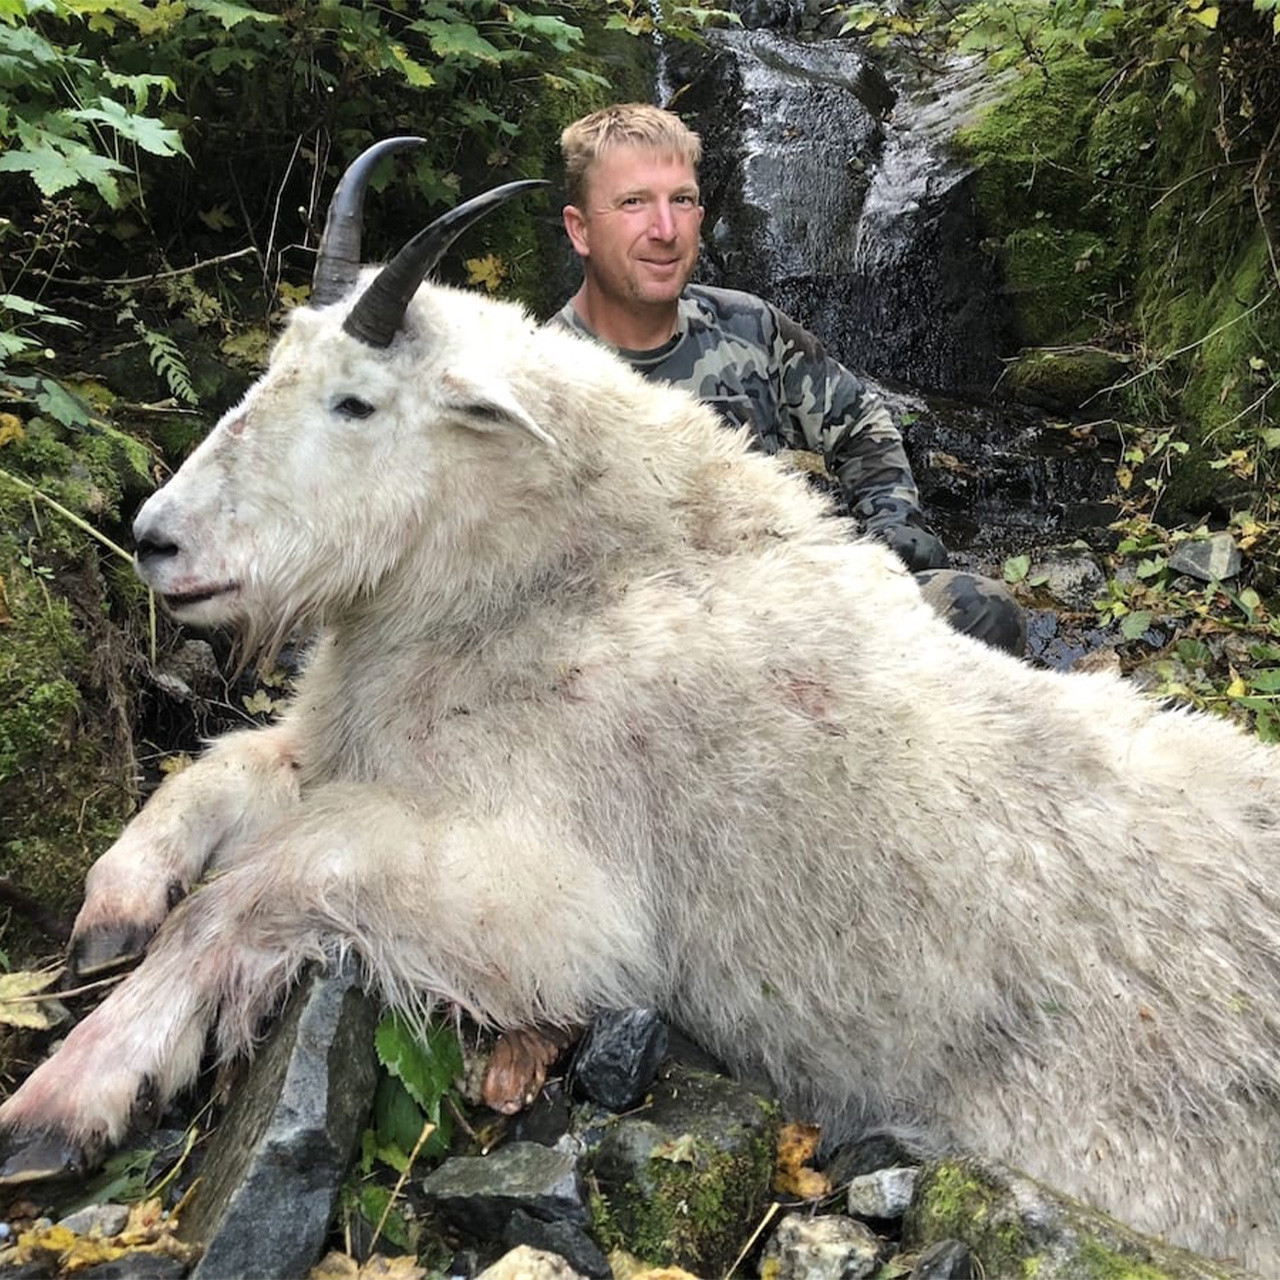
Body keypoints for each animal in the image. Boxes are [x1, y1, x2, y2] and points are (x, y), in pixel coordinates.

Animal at [2, 135, 1280, 1274]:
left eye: (357, 403)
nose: (157, 539)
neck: (569, 575)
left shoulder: (552, 901)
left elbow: (259, 889)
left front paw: (61, 1099)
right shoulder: (358, 747)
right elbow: (213, 772)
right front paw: (109, 910)